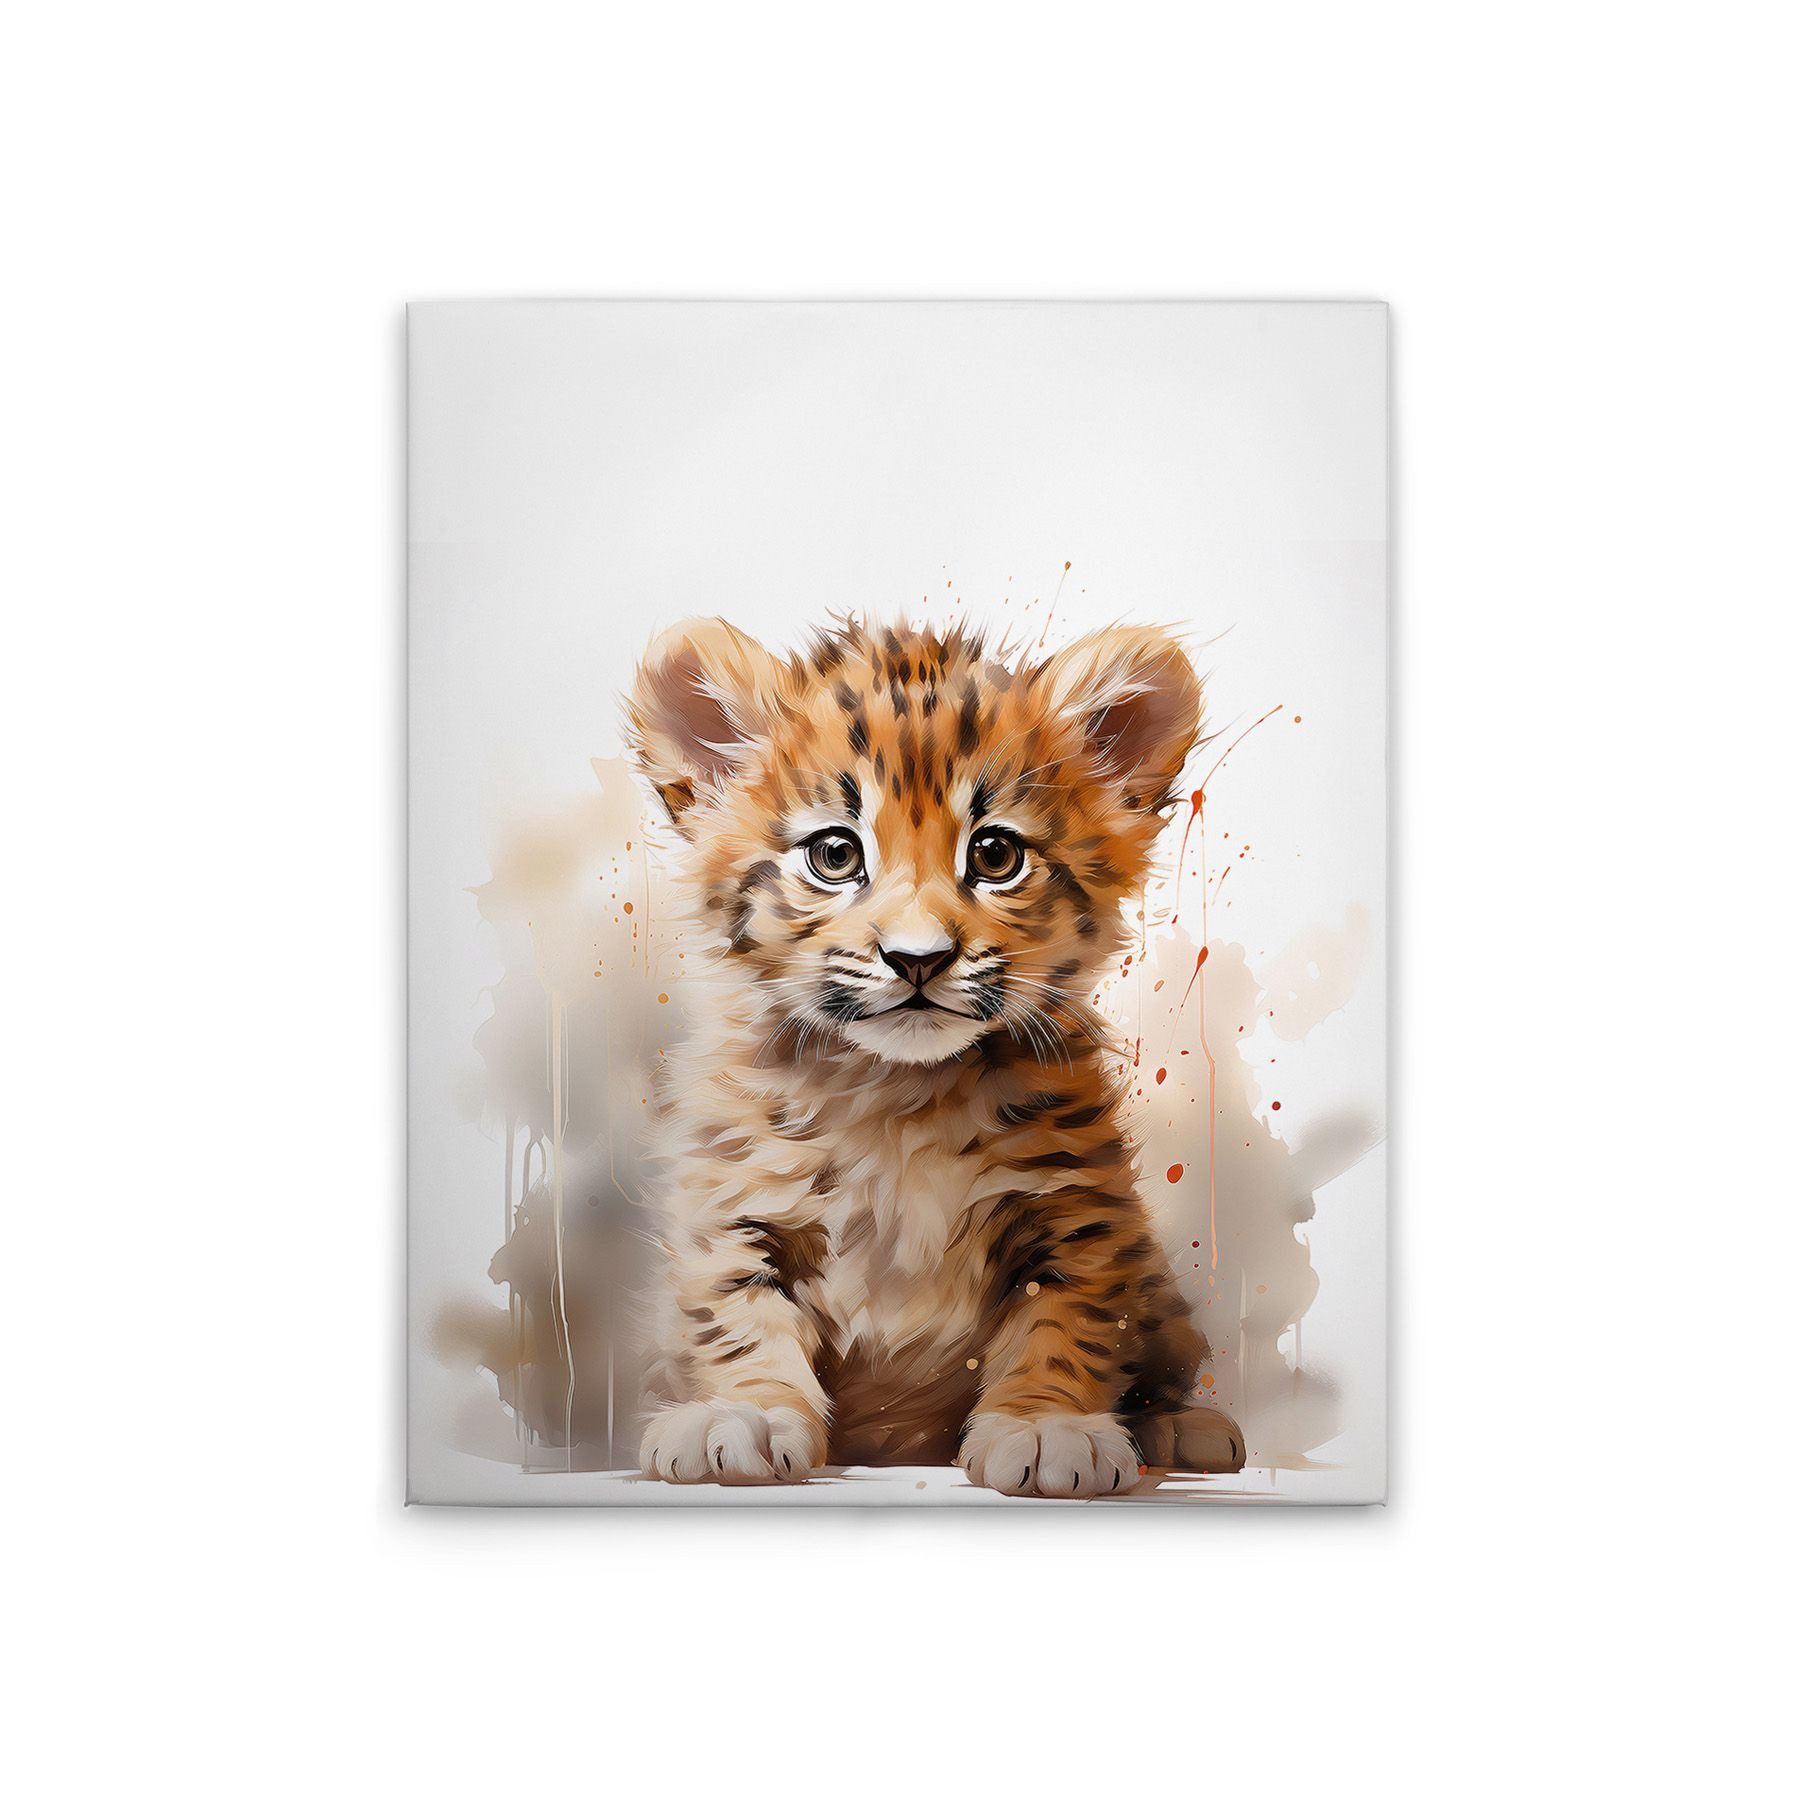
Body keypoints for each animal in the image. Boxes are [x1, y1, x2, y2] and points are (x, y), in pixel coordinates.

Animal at [624, 613, 1245, 1495]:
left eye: (994, 856)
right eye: (835, 855)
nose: (917, 959)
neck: (897, 1099)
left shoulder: (1077, 1215)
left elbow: (1069, 1322)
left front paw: (1048, 1427)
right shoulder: (733, 1209)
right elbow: (734, 1313)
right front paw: (743, 1413)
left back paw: (1185, 1428)